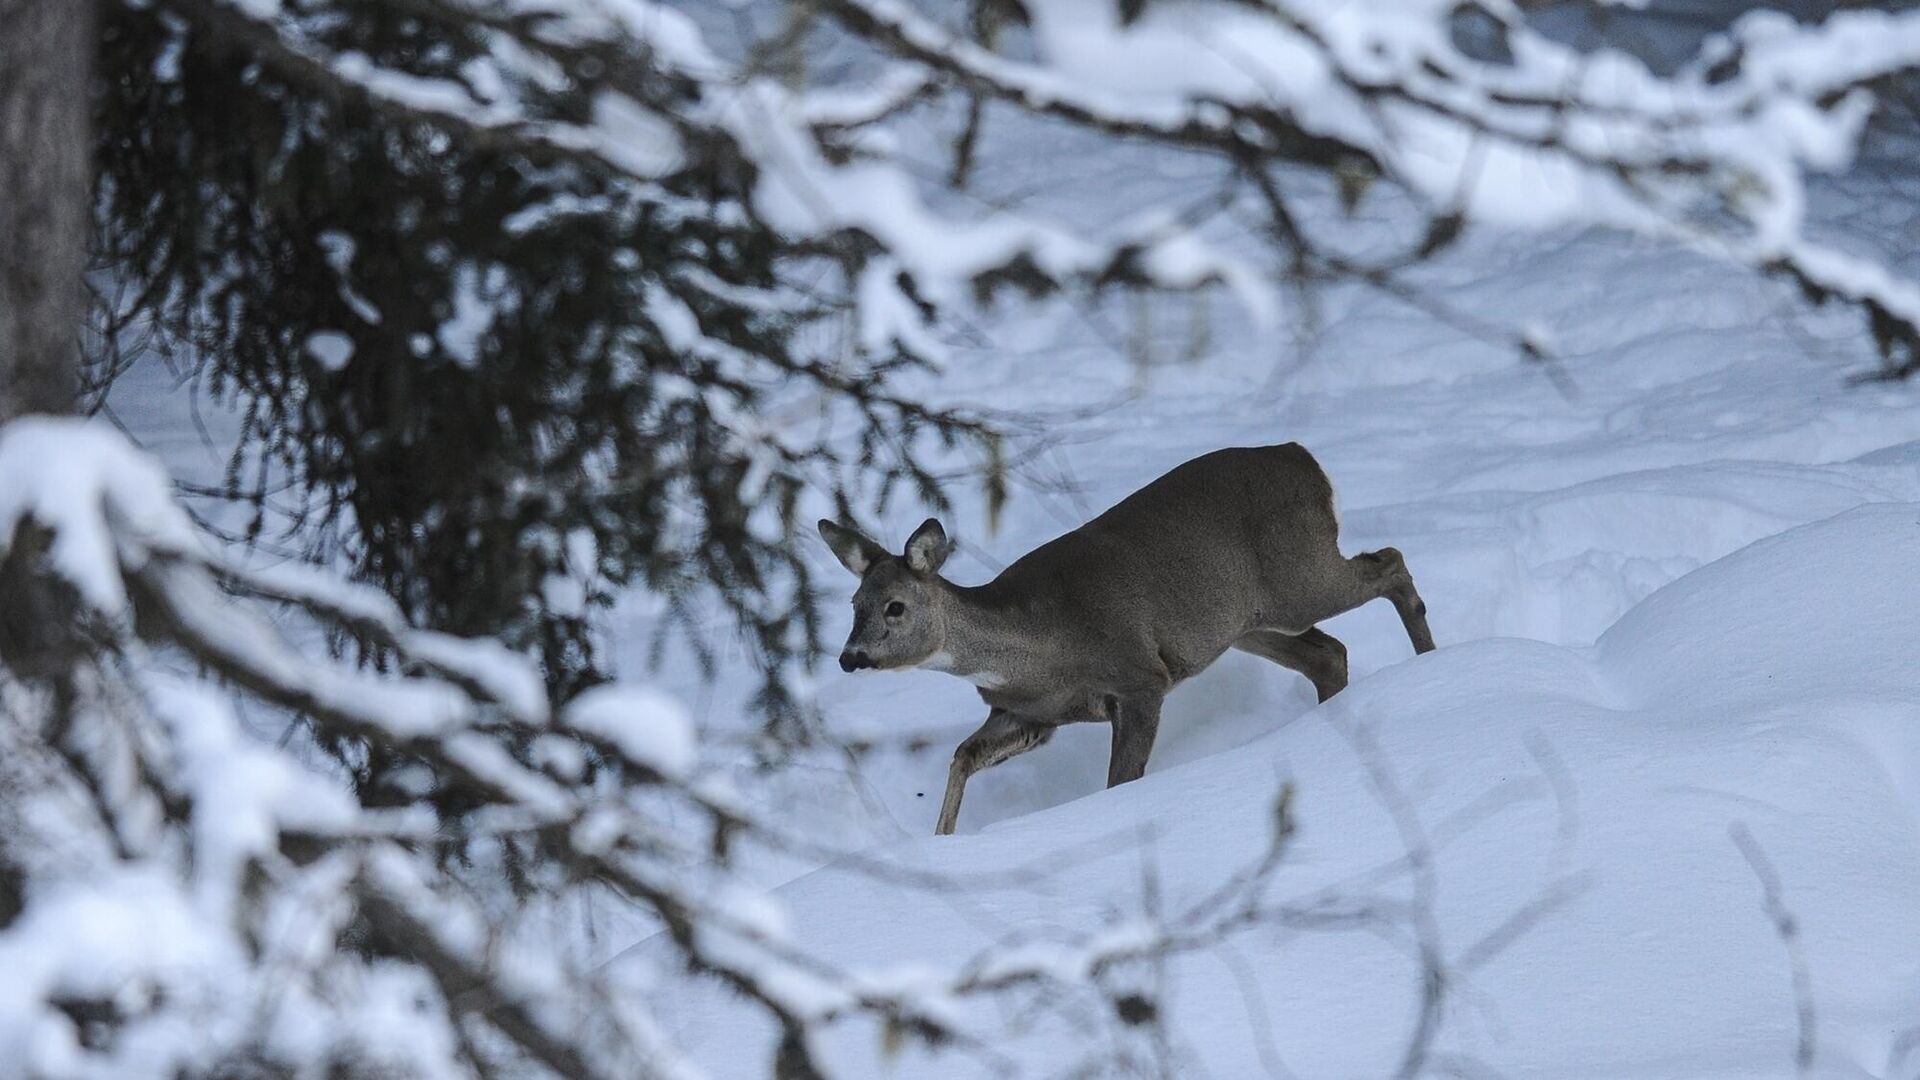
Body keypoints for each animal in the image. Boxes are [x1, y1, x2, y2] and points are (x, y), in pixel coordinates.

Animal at [817, 441, 1436, 826]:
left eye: (895, 607)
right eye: (853, 604)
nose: (850, 657)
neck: (1041, 647)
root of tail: (1302, 456)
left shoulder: (1140, 678)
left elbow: (1120, 784)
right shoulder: (1028, 716)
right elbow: (962, 757)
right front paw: (940, 840)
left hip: (1298, 575)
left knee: (1391, 563)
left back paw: (1432, 662)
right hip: (1245, 622)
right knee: (1329, 653)